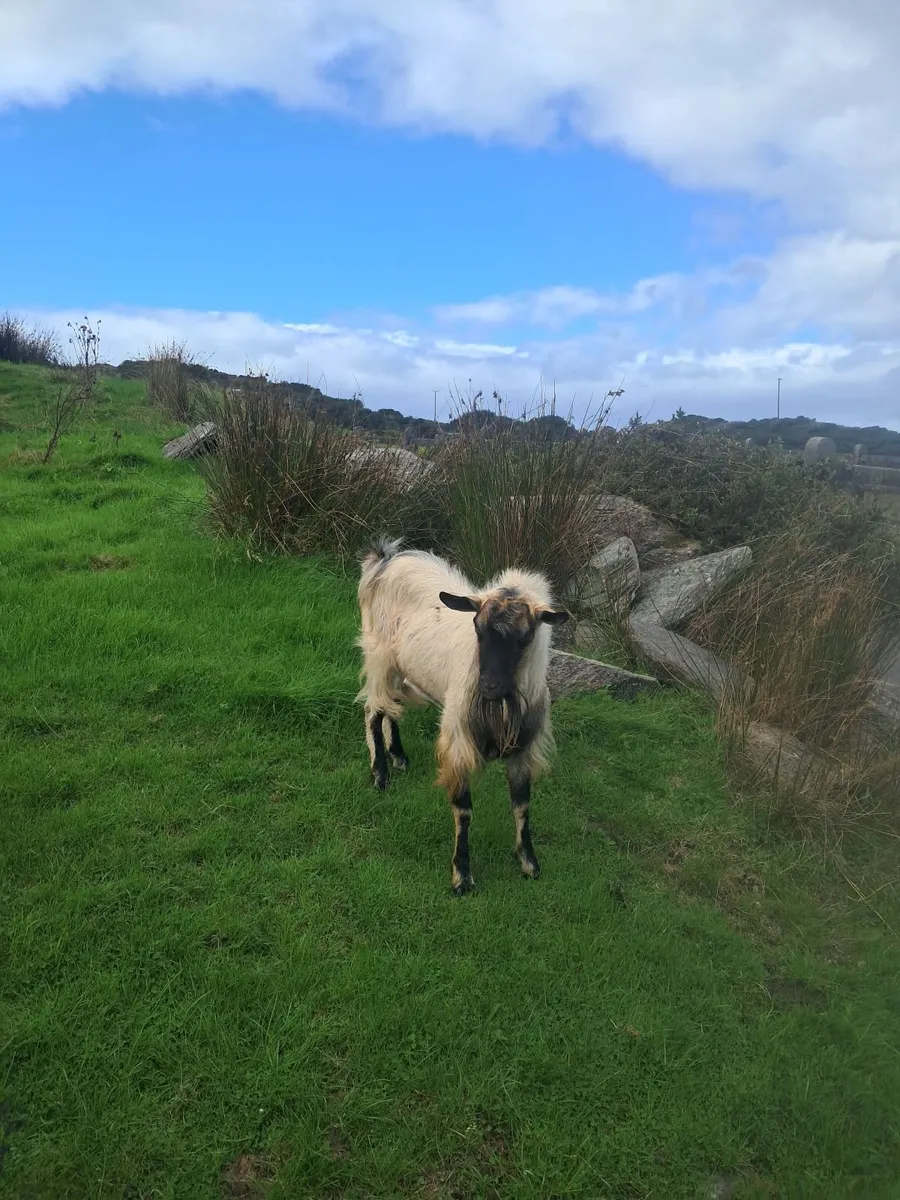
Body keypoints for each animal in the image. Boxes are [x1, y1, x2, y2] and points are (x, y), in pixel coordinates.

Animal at [356, 537, 569, 895]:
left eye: (526, 636)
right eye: (477, 627)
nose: (490, 685)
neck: (502, 705)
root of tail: (386, 558)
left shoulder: (522, 749)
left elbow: (522, 804)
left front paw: (529, 863)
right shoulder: (459, 744)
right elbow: (464, 811)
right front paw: (462, 876)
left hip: (402, 665)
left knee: (393, 708)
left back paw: (398, 756)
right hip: (380, 657)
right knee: (374, 709)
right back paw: (380, 775)